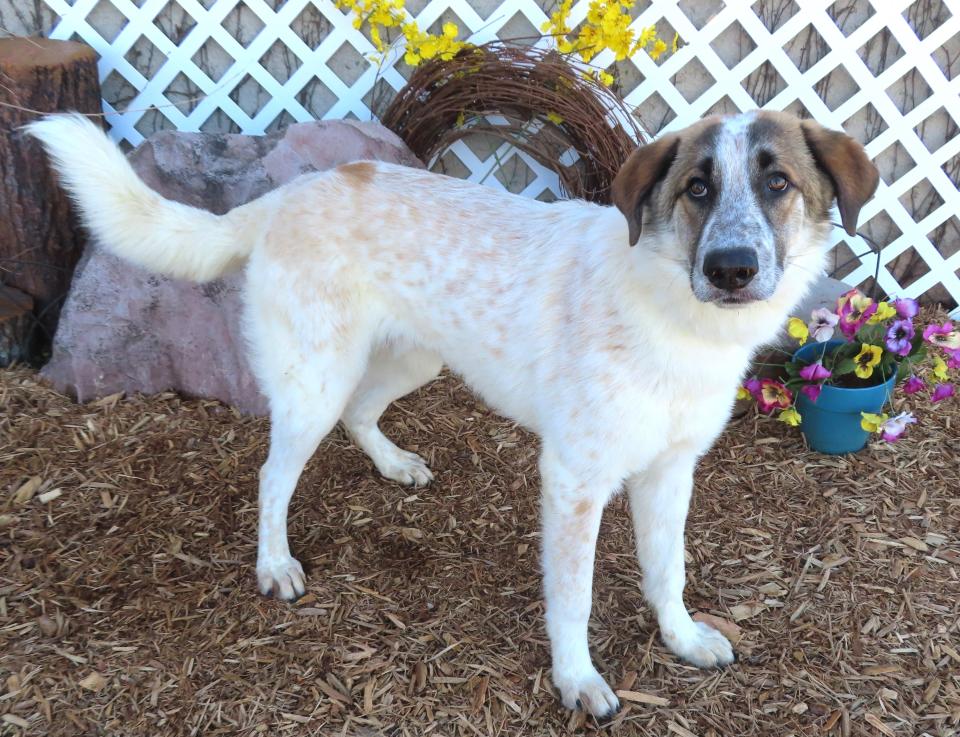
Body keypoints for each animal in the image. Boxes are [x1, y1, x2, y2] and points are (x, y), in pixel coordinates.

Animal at [30, 112, 872, 716]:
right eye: (697, 188)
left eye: (778, 183)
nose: (732, 267)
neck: (673, 314)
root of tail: (283, 196)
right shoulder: (574, 480)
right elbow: (574, 597)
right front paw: (578, 680)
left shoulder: (670, 469)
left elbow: (669, 569)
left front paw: (686, 637)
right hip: (315, 381)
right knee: (273, 475)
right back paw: (274, 565)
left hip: (413, 359)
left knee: (361, 414)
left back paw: (395, 464)